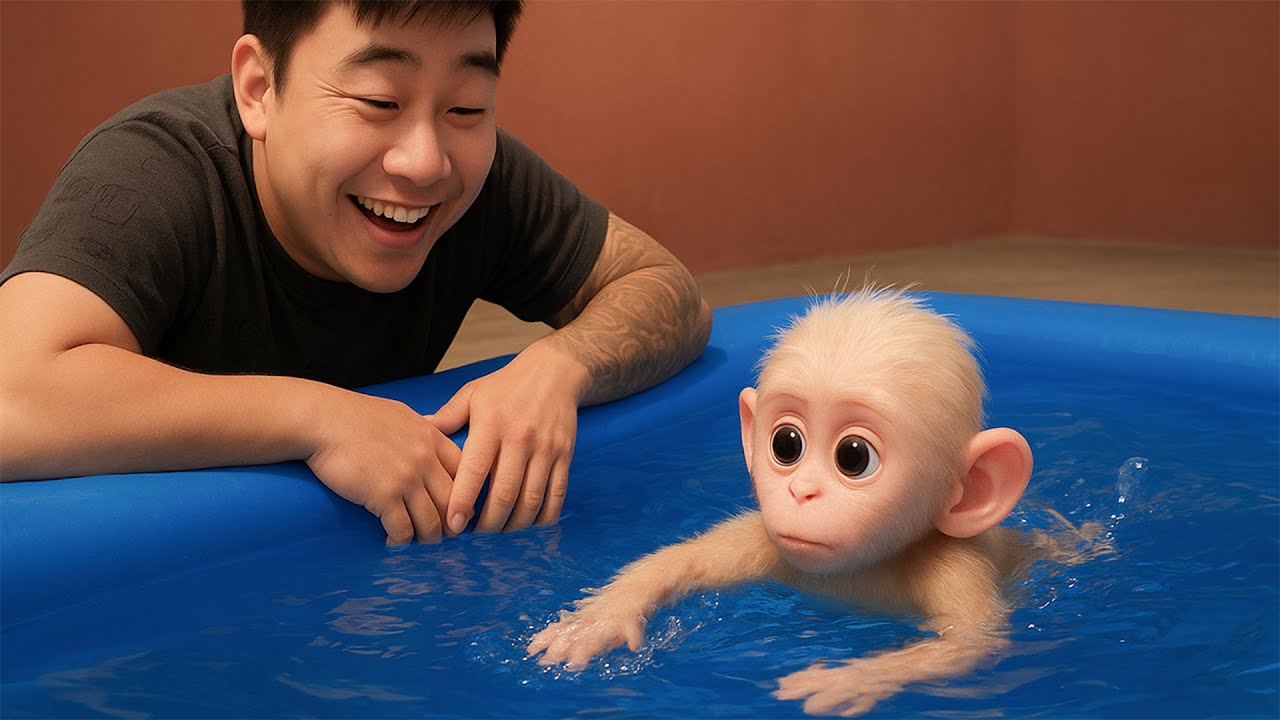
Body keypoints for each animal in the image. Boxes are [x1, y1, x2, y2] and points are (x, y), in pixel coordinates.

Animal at [526, 287, 1048, 716]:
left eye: (853, 456)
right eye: (786, 444)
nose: (801, 491)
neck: (862, 569)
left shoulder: (954, 567)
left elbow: (969, 642)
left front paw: (851, 679)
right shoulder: (763, 539)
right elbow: (683, 560)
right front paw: (599, 621)